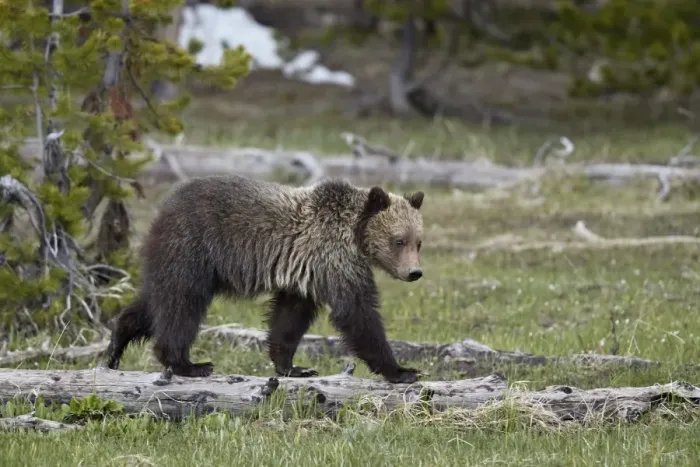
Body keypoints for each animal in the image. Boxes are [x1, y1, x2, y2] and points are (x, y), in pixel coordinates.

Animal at [105, 174, 425, 384]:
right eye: (398, 241)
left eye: (418, 242)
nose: (415, 272)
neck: (355, 233)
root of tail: (164, 206)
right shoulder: (334, 258)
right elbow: (357, 312)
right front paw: (402, 370)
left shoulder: (305, 272)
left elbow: (290, 317)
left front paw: (293, 367)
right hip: (192, 248)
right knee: (181, 304)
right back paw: (188, 363)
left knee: (155, 300)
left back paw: (114, 347)